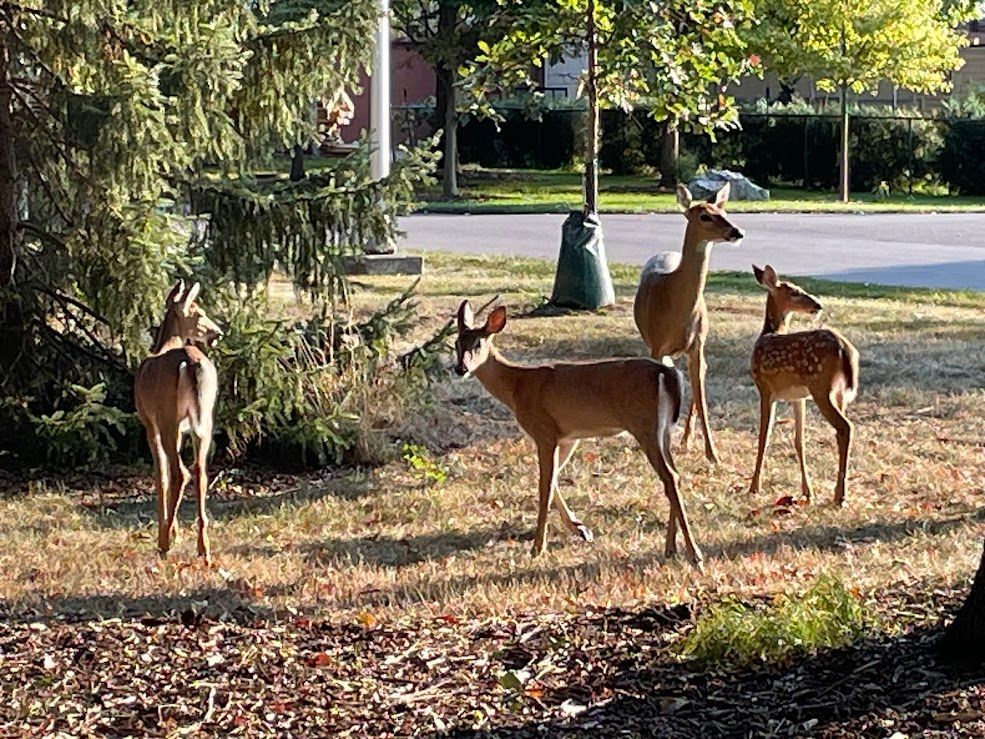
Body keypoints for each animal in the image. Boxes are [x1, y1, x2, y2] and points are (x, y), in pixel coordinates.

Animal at [134, 281, 222, 564]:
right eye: (199, 313)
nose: (217, 333)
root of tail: (192, 363)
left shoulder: (149, 424)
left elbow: (159, 475)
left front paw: (168, 531)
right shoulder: (185, 429)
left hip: (167, 417)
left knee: (178, 471)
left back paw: (164, 543)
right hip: (204, 420)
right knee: (200, 470)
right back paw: (203, 547)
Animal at [454, 299, 704, 569]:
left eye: (478, 344)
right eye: (456, 343)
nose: (460, 368)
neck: (517, 386)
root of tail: (666, 373)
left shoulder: (544, 431)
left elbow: (545, 486)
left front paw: (538, 548)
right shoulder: (567, 437)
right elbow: (553, 480)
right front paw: (580, 529)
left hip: (644, 425)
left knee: (669, 477)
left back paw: (694, 554)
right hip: (663, 430)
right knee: (675, 474)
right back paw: (670, 548)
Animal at [633, 182, 745, 465]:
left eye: (723, 211)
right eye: (704, 216)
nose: (737, 232)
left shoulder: (697, 344)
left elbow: (702, 397)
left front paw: (712, 454)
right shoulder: (657, 345)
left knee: (699, 377)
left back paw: (686, 439)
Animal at [747, 265, 860, 505]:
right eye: (795, 292)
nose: (818, 305)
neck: (769, 333)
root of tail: (843, 347)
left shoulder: (765, 388)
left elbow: (764, 437)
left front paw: (753, 488)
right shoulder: (798, 397)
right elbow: (799, 441)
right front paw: (808, 491)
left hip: (821, 387)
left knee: (845, 427)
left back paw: (840, 496)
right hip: (839, 393)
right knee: (842, 430)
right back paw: (838, 493)